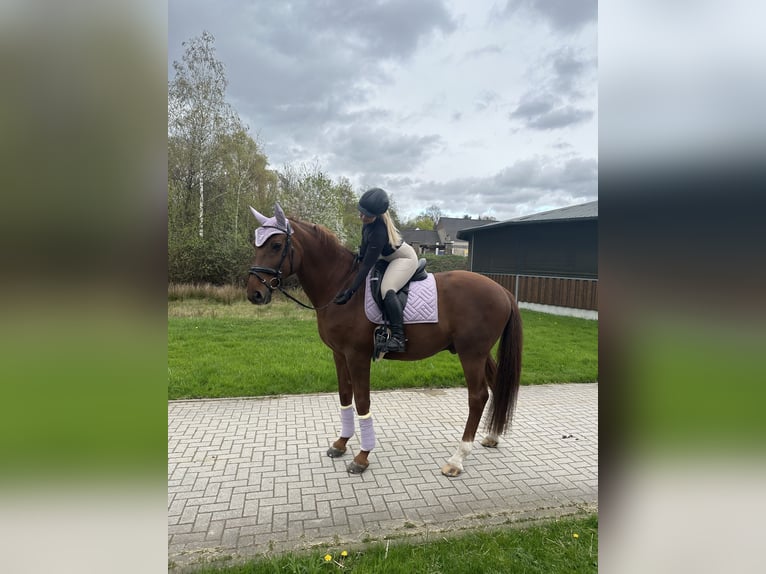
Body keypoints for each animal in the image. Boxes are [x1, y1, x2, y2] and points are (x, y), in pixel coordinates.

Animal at [246, 205, 520, 480]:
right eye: (256, 244)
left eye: (276, 245)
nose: (254, 293)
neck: (341, 286)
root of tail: (502, 290)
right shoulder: (339, 354)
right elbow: (345, 396)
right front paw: (341, 443)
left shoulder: (357, 355)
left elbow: (362, 401)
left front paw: (362, 457)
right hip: (480, 353)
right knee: (496, 384)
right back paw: (492, 437)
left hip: (471, 354)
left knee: (477, 396)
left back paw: (457, 459)